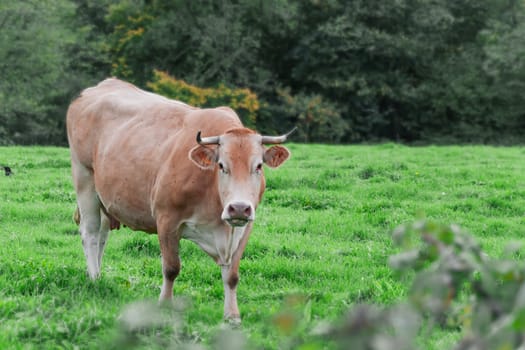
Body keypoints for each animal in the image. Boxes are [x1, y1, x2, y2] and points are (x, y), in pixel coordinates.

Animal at [65, 78, 290, 324]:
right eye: (222, 165)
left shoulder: (243, 227)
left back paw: (98, 274)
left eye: (258, 166)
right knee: (90, 233)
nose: (239, 208)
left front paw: (232, 315)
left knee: (102, 236)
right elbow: (171, 268)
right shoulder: (166, 218)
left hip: (105, 197)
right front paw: (164, 304)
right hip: (84, 178)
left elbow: (232, 275)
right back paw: (94, 277)